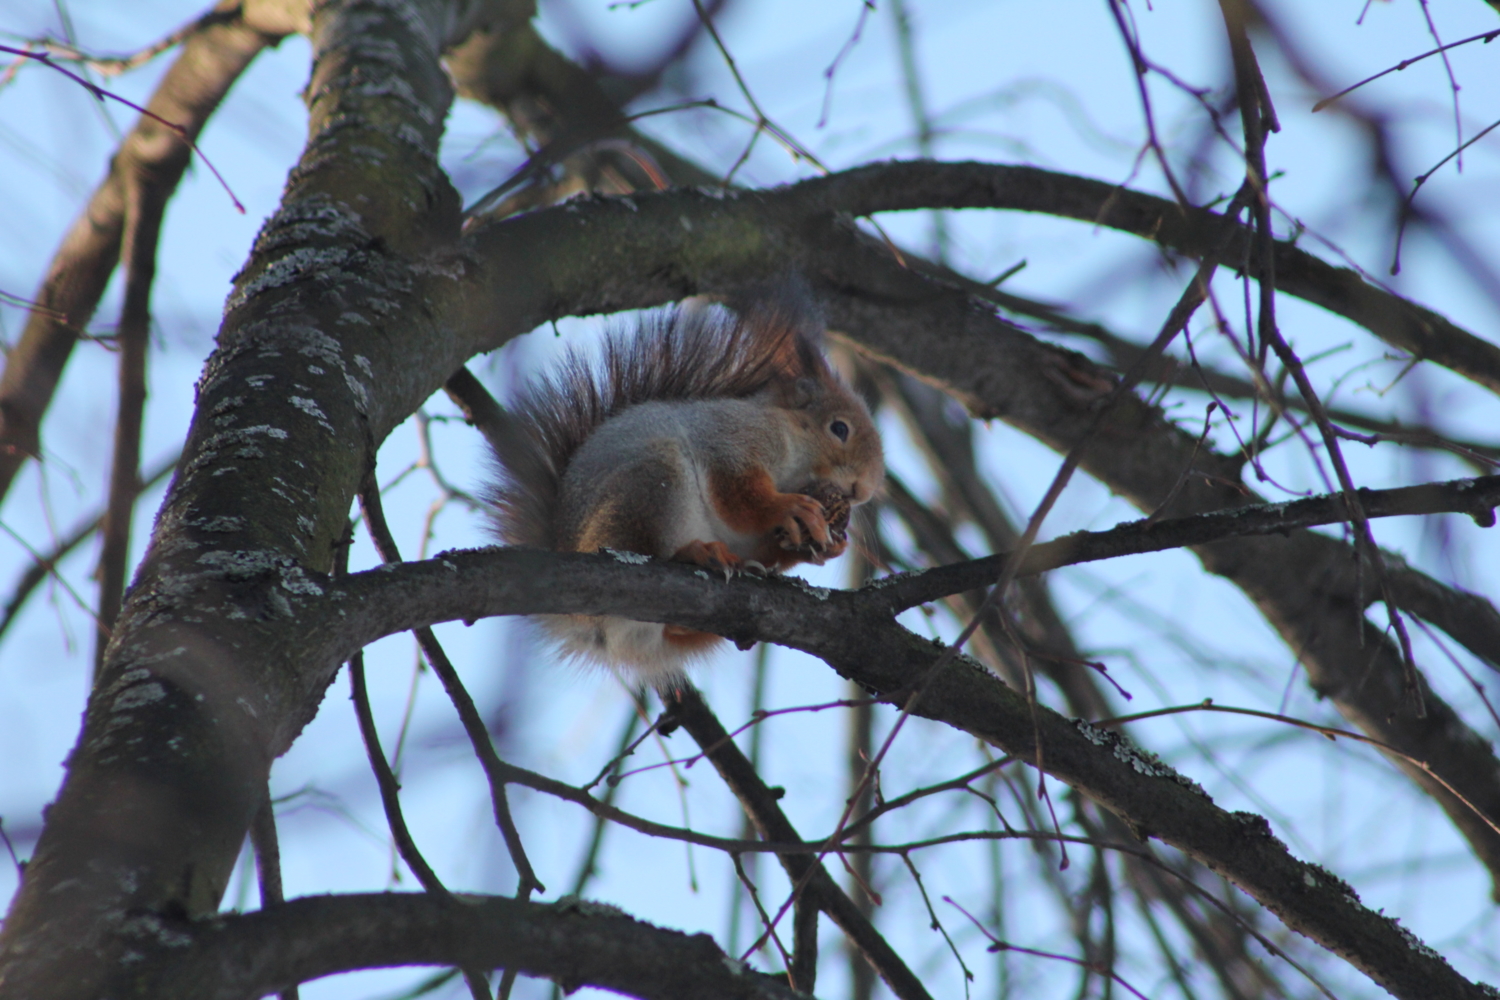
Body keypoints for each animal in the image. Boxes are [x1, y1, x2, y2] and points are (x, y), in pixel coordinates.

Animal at [483, 289, 876, 683]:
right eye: (839, 428)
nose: (864, 491)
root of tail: (581, 621)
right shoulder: (731, 442)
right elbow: (737, 495)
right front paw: (788, 508)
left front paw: (823, 546)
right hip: (651, 483)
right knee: (647, 547)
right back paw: (697, 553)